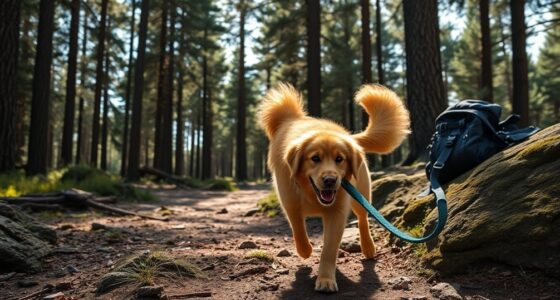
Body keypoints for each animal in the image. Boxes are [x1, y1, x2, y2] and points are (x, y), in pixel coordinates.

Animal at [258, 82, 412, 292]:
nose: (331, 179)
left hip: (361, 193)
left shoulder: (337, 212)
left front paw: (325, 279)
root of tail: (352, 138)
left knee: (363, 219)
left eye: (340, 159)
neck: (311, 194)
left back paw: (368, 247)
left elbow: (330, 249)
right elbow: (298, 229)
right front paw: (305, 250)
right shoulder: (290, 200)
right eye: (315, 158)